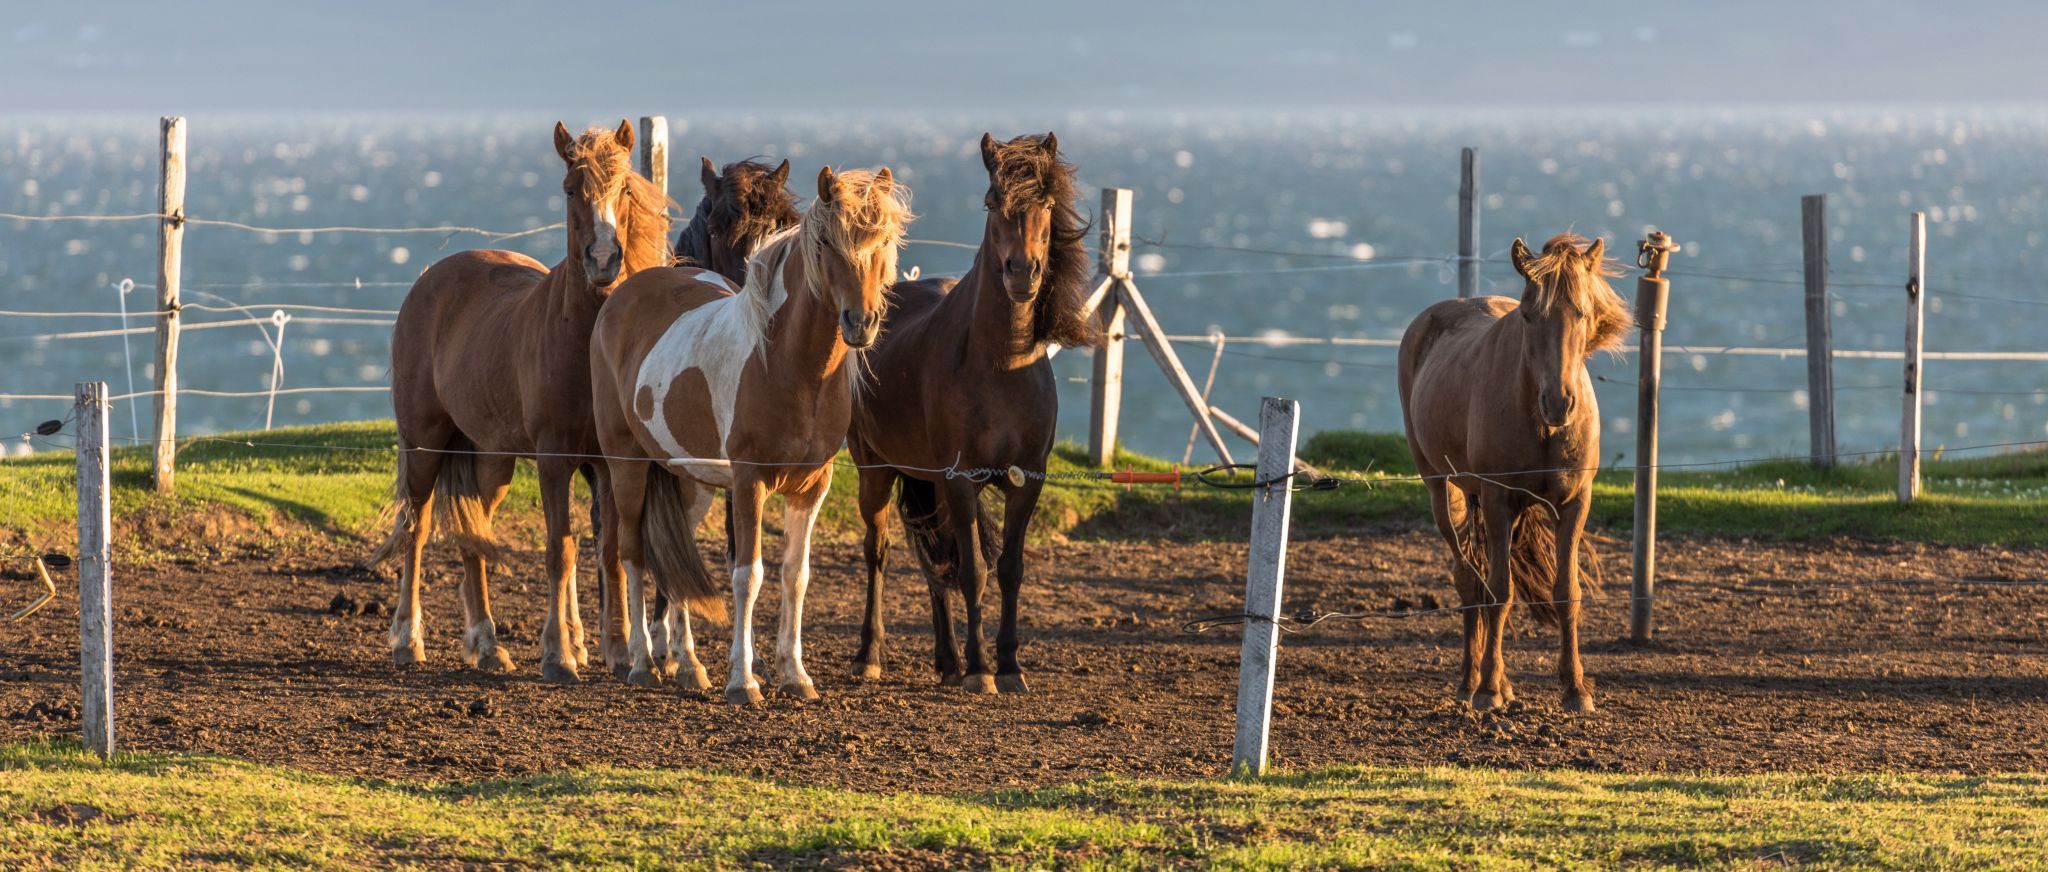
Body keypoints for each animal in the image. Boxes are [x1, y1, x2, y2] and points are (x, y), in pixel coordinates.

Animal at [374, 120, 669, 684]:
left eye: (624, 189)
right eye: (570, 189)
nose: (604, 260)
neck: (584, 343)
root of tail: (429, 278)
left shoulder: (607, 461)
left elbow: (609, 552)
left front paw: (619, 652)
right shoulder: (554, 459)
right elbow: (559, 550)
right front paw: (558, 656)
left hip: (493, 460)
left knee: (473, 535)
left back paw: (488, 645)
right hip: (424, 445)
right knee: (416, 531)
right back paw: (407, 639)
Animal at [846, 132, 1097, 692]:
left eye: (1048, 203)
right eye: (991, 201)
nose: (1022, 273)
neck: (1001, 364)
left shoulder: (1027, 480)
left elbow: (1008, 569)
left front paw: (1008, 666)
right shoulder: (961, 480)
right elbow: (974, 572)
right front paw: (982, 670)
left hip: (930, 483)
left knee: (933, 556)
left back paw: (947, 660)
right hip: (877, 470)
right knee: (880, 552)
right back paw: (870, 654)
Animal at [1396, 233, 1629, 713]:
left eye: (1582, 312)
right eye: (1528, 315)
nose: (1558, 403)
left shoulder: (1574, 503)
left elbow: (1566, 590)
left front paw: (1575, 689)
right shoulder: (1498, 499)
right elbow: (1500, 592)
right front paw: (1488, 689)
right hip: (1444, 491)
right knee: (1470, 582)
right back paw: (1472, 682)